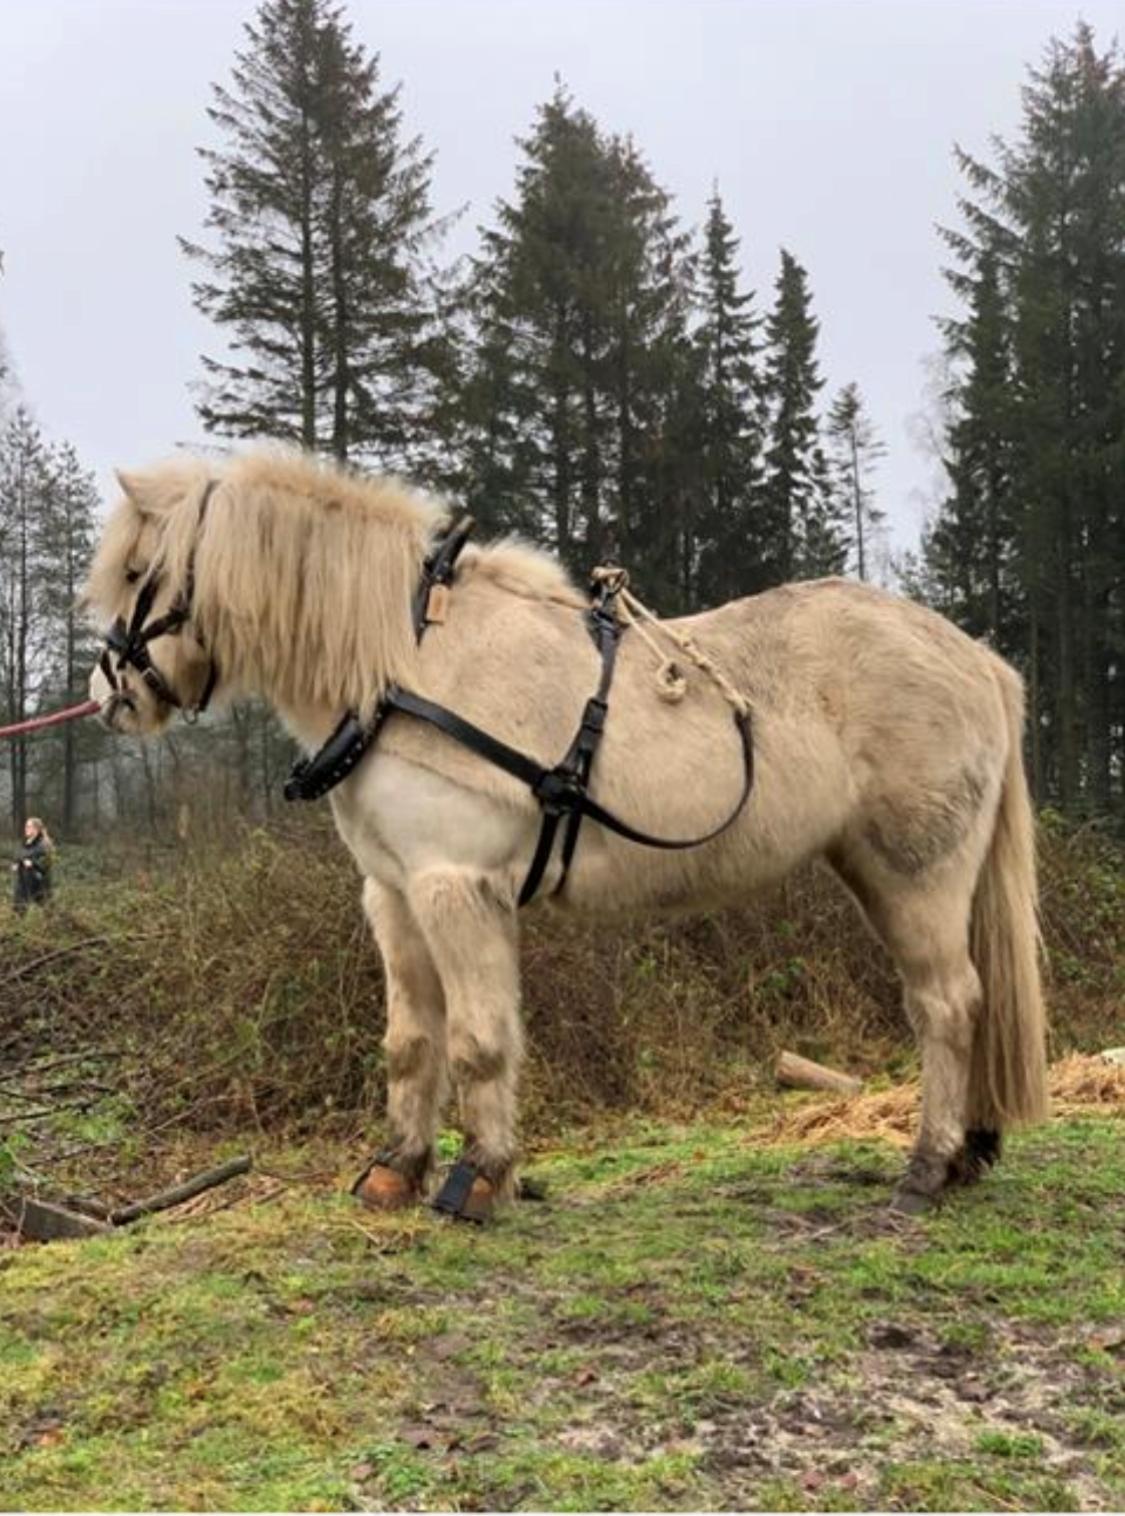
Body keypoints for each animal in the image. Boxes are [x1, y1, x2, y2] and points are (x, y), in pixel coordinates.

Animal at [86, 448, 1049, 1218]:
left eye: (137, 571)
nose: (109, 697)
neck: (408, 666)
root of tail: (974, 658)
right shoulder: (393, 893)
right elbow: (411, 1042)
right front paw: (398, 1168)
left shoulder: (455, 885)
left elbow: (478, 1041)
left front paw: (480, 1176)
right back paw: (966, 1152)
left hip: (915, 875)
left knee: (947, 1004)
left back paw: (925, 1168)